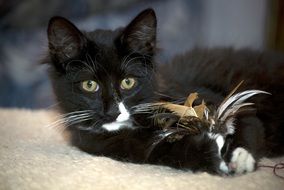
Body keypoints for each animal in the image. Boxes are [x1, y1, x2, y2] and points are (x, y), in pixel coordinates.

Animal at [43, 8, 284, 175]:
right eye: (89, 85)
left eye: (128, 82)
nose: (113, 111)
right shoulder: (112, 145)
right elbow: (161, 151)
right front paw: (210, 154)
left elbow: (248, 120)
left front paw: (239, 157)